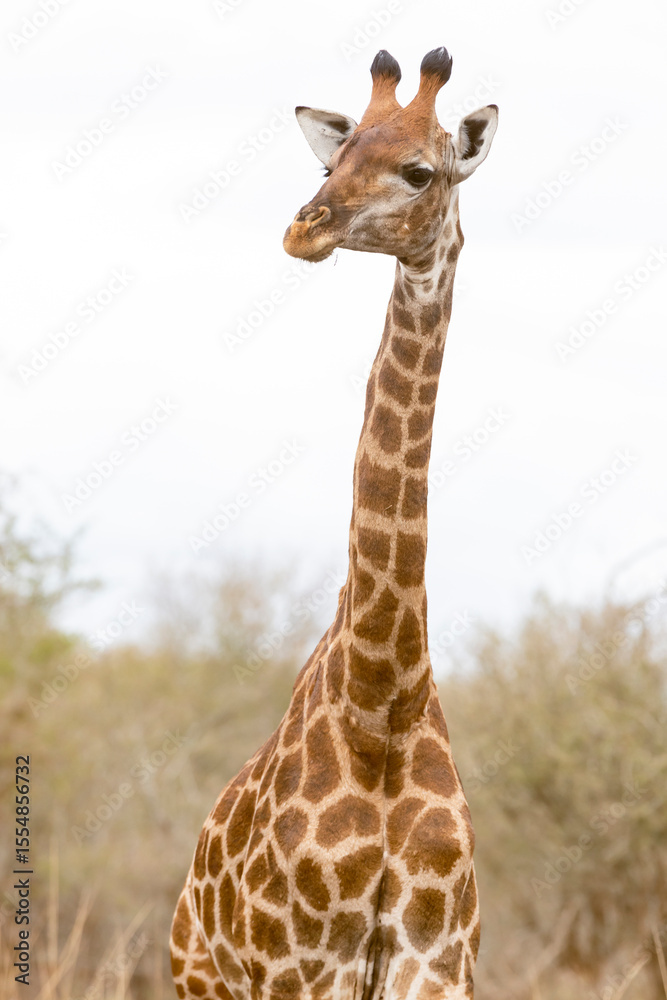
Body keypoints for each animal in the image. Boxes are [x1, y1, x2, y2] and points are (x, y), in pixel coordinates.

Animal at [171, 47, 498, 1000]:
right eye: (332, 163)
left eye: (418, 170)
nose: (303, 228)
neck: (381, 701)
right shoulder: (301, 968)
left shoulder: (437, 965)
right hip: (202, 981)